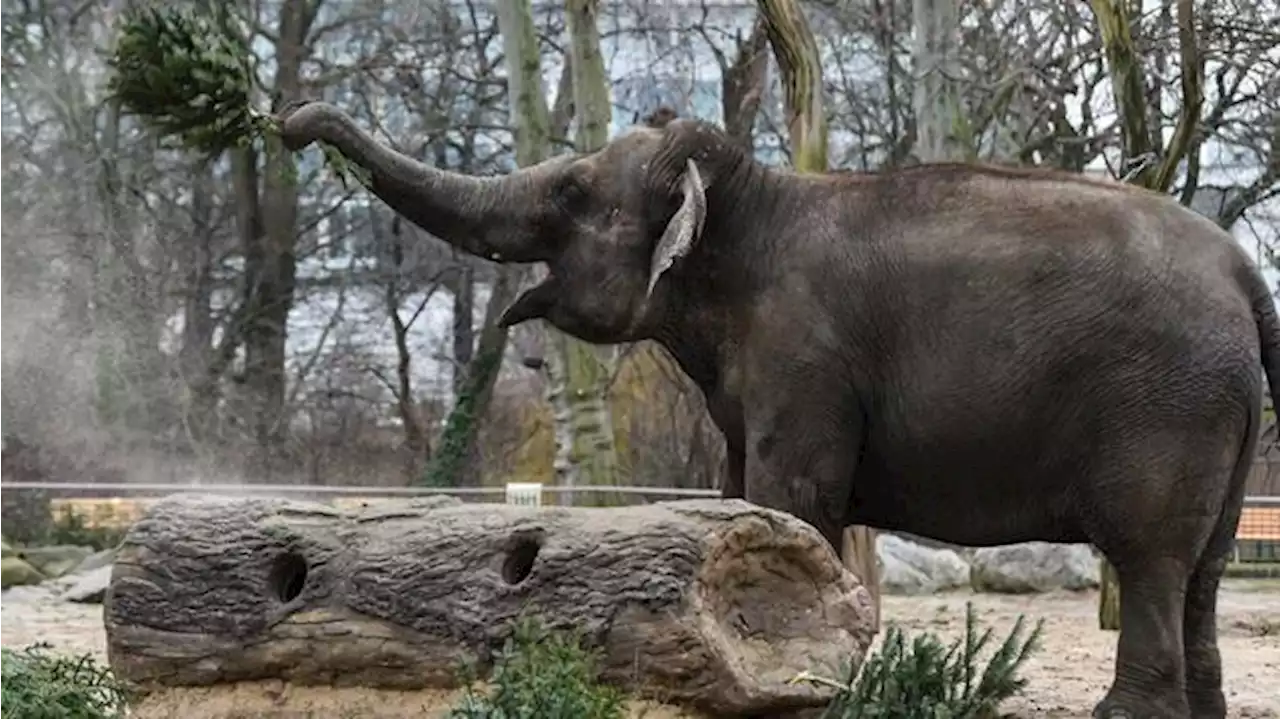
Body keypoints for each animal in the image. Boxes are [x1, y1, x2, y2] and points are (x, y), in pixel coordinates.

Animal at [277, 96, 1280, 716]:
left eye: (570, 191)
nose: (288, 127)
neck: (751, 198)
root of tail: (1245, 274)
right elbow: (738, 498)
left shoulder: (806, 361)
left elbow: (790, 498)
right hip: (1220, 417)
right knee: (1205, 565)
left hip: (1165, 406)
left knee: (1150, 556)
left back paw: (1126, 710)